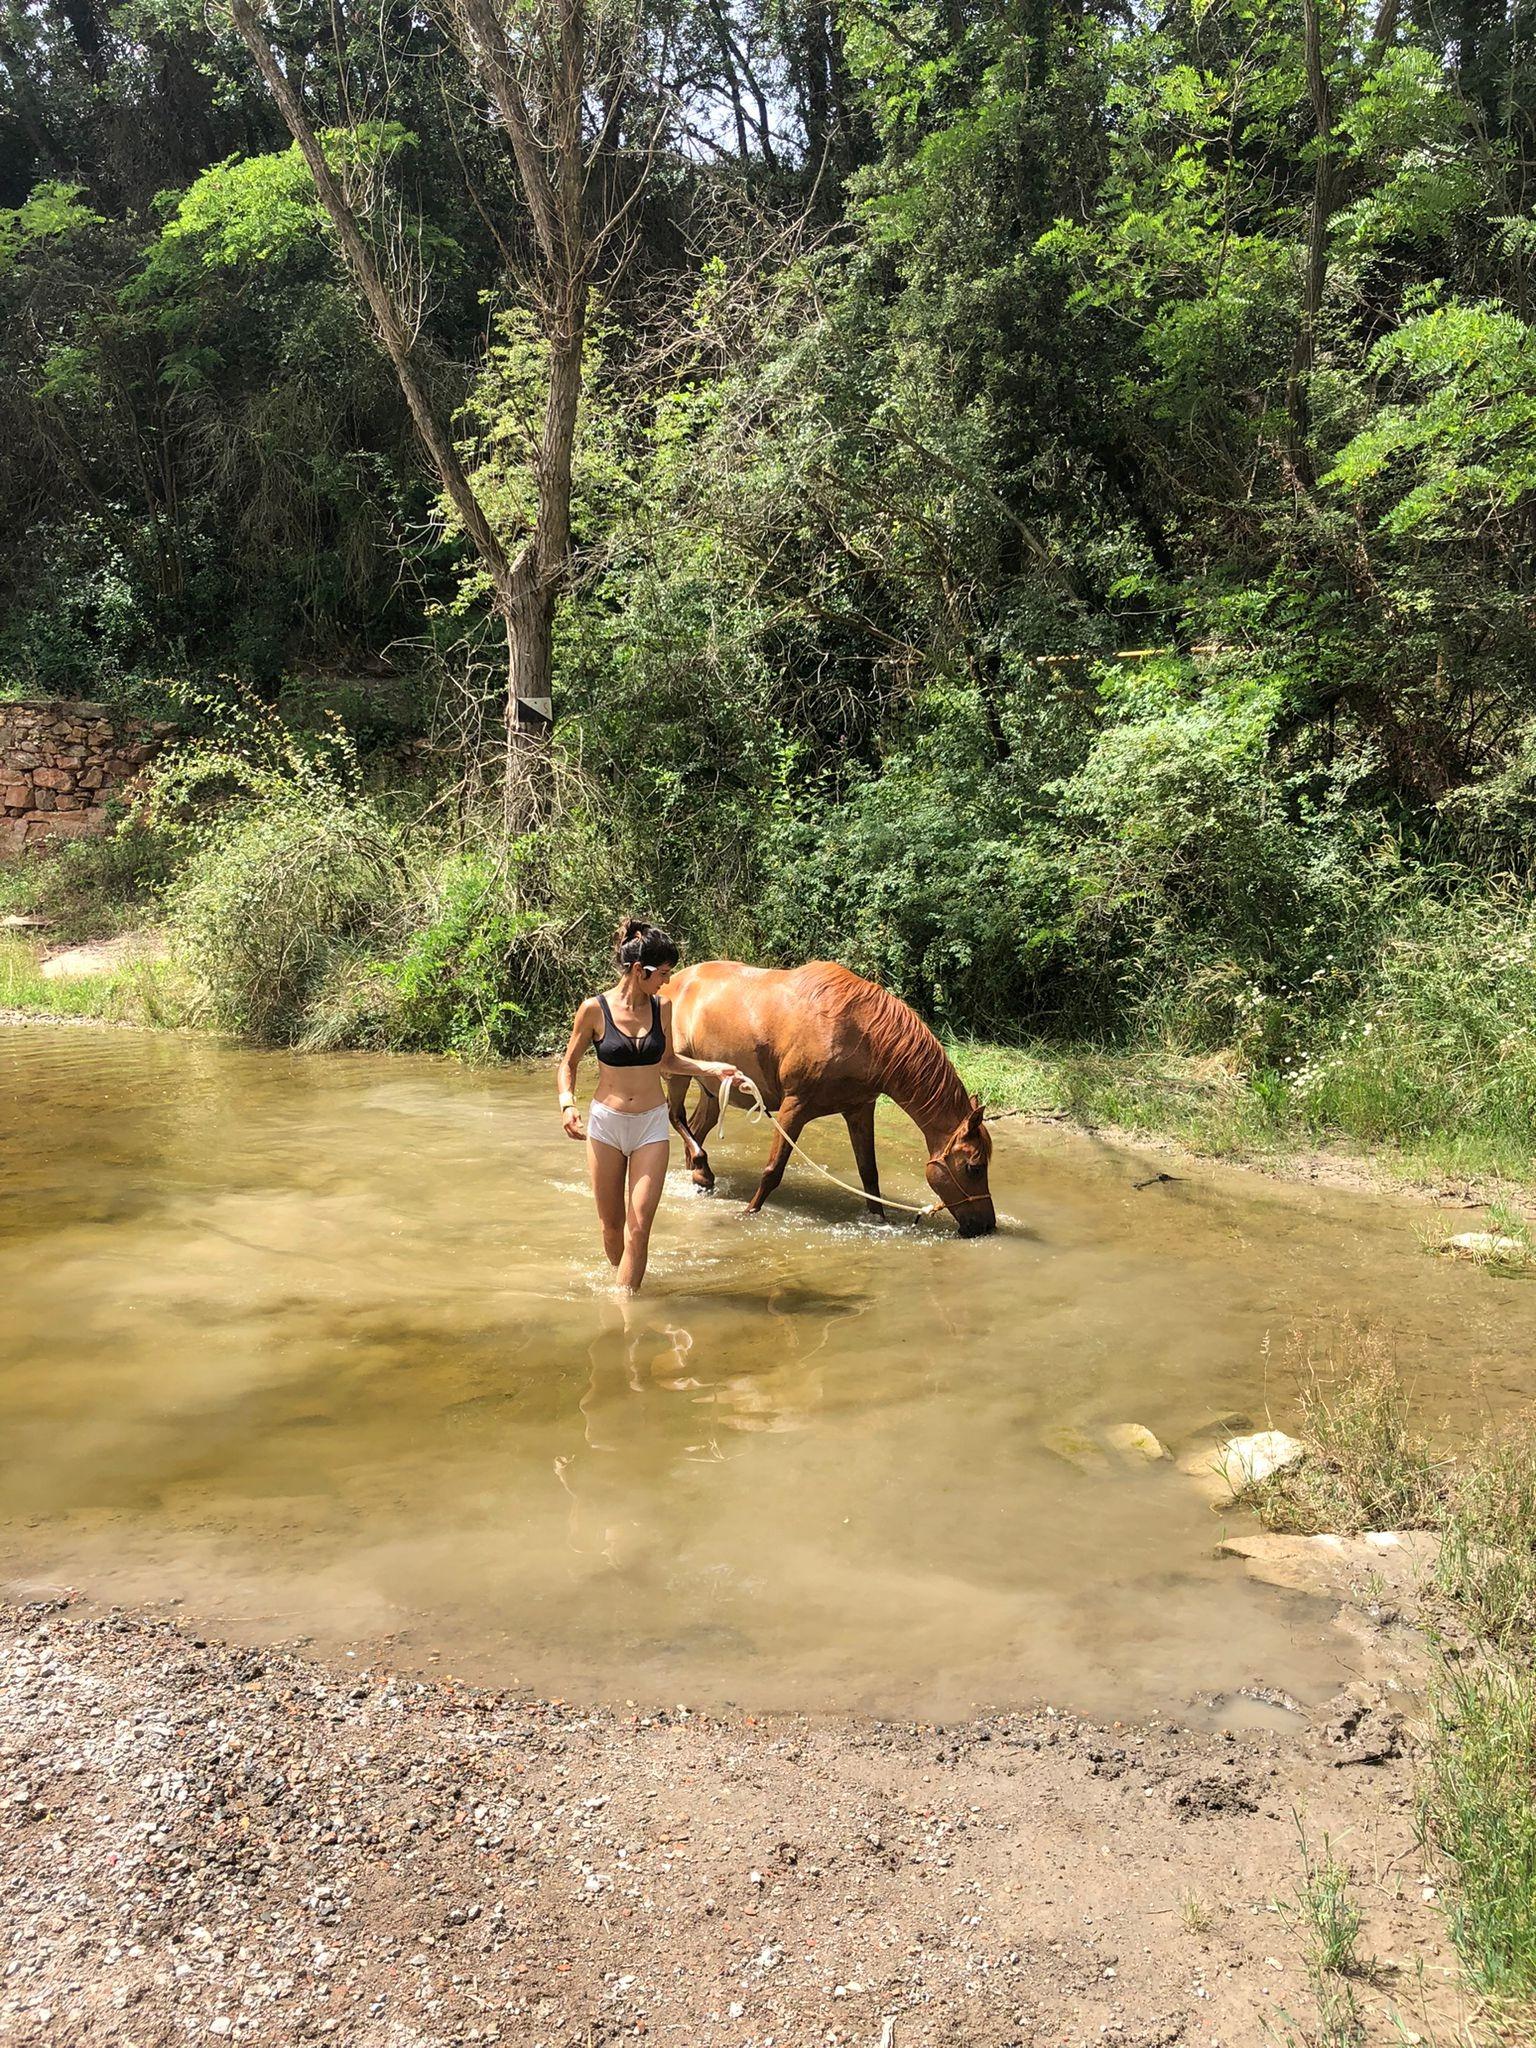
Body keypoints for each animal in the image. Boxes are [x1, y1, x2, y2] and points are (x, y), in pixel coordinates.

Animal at [667, 958, 1003, 1228]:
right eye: (974, 1167)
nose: (986, 1225)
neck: (860, 1033)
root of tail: (676, 981)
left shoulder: (860, 1110)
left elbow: (869, 1174)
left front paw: (880, 1220)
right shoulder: (794, 1107)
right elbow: (773, 1169)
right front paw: (749, 1212)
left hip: (712, 1089)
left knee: (695, 1129)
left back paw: (699, 1177)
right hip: (677, 1073)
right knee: (677, 1118)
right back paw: (703, 1172)